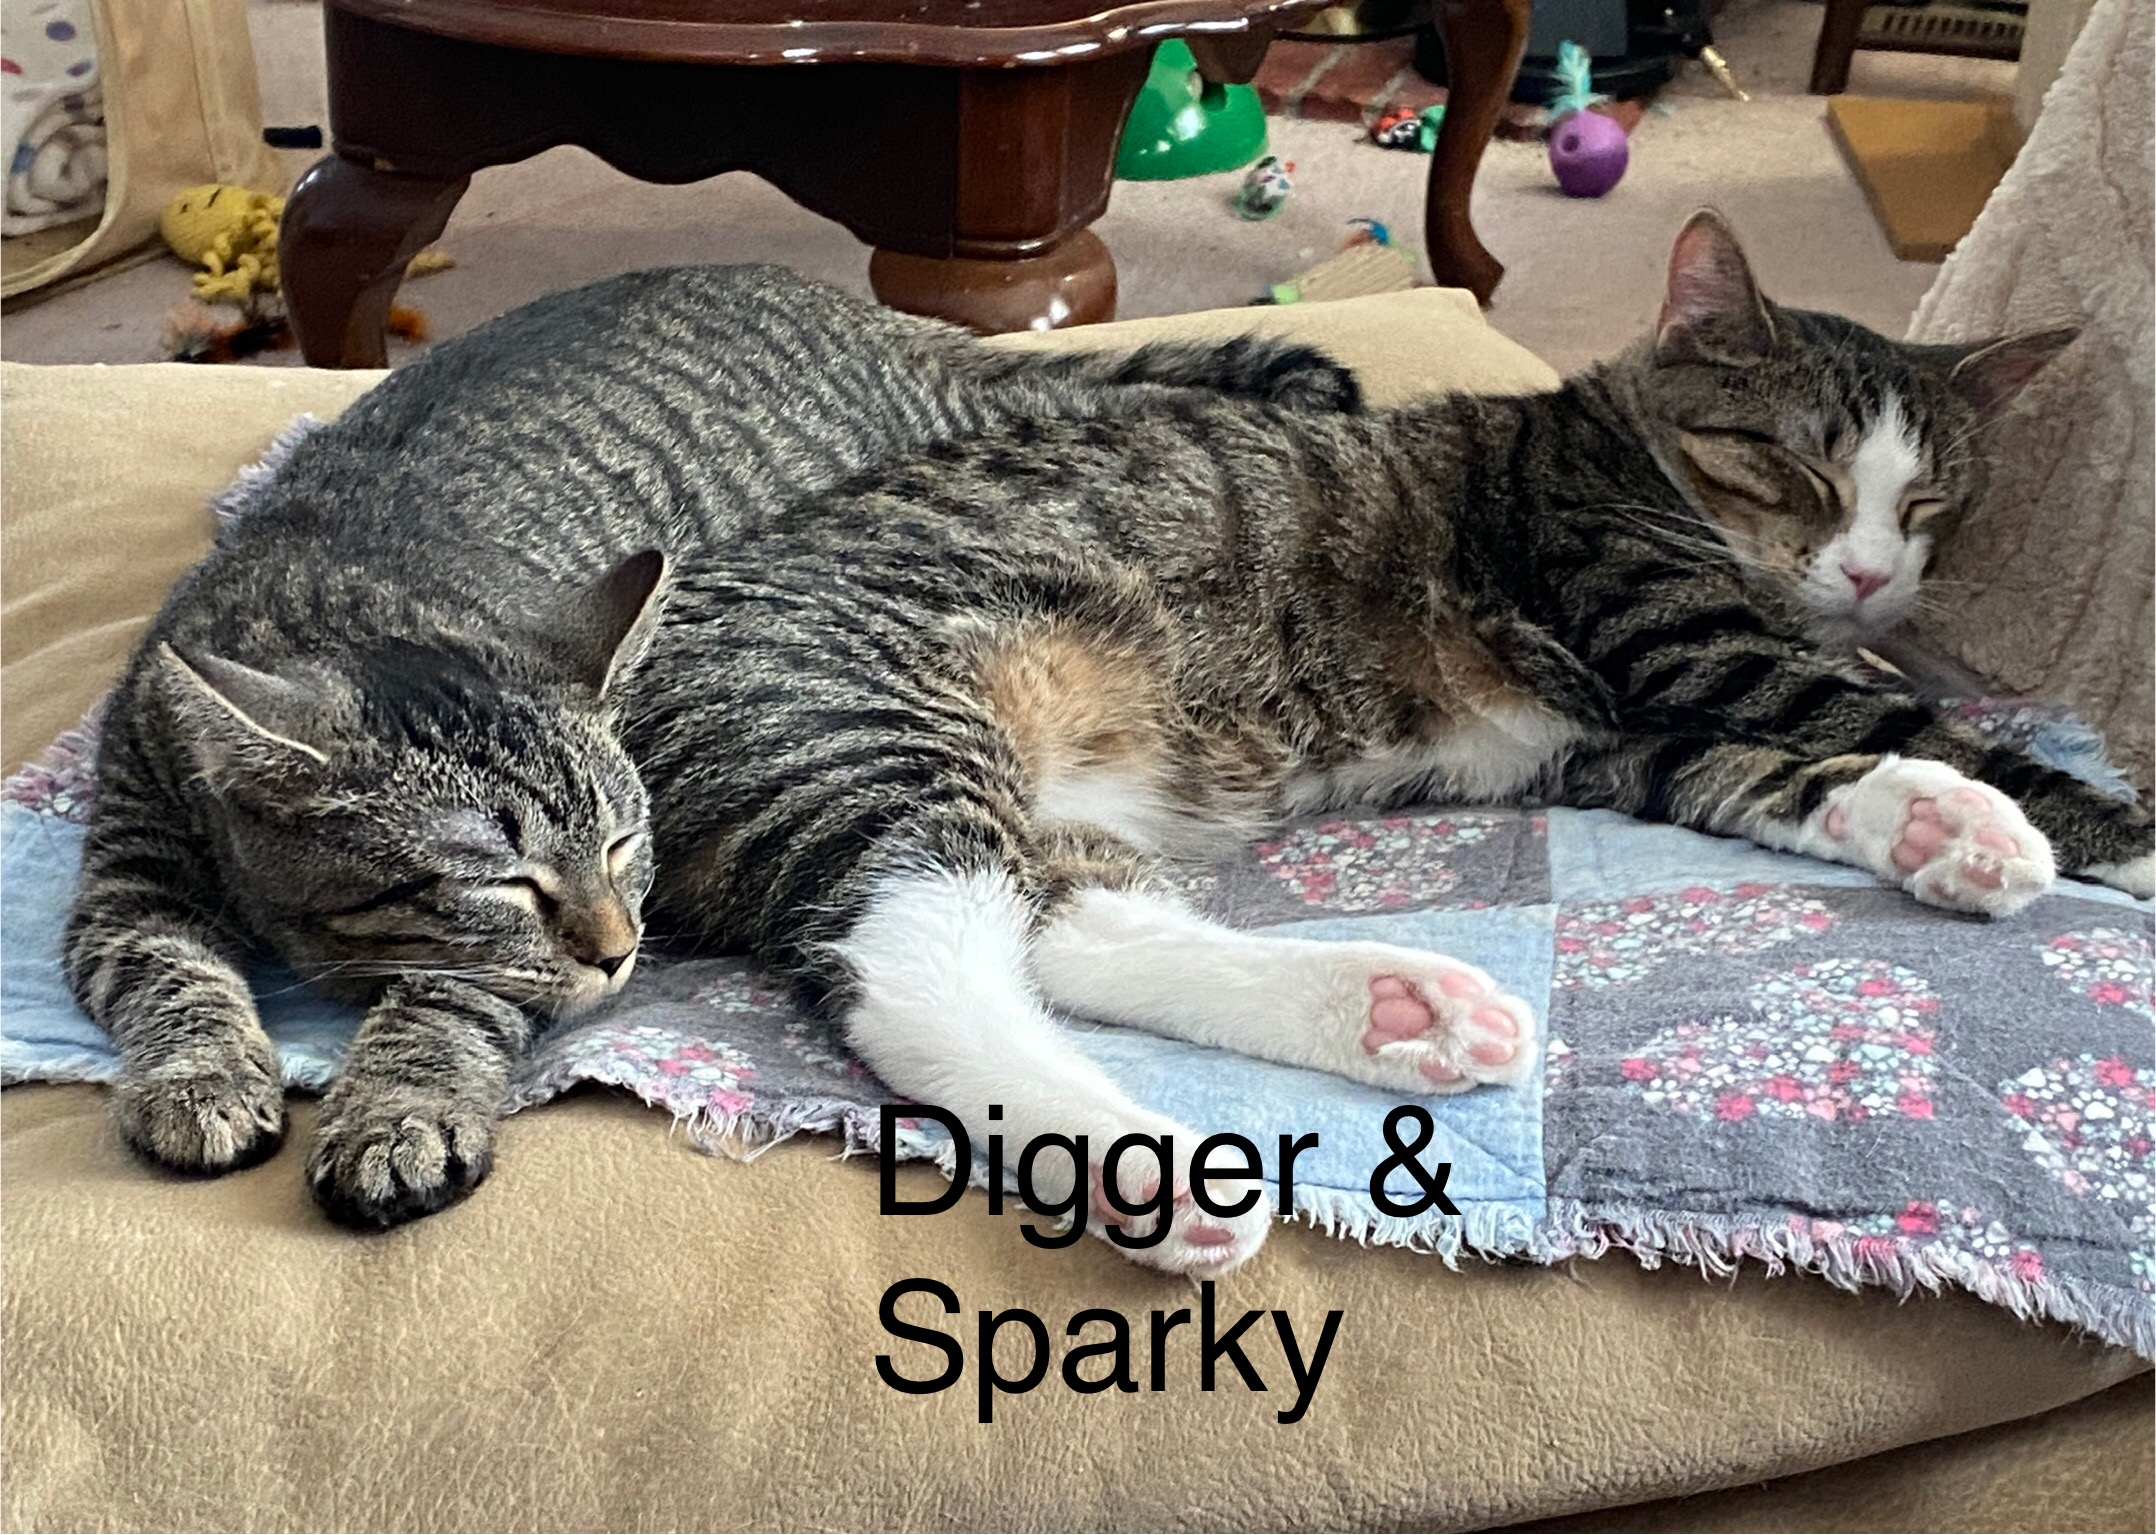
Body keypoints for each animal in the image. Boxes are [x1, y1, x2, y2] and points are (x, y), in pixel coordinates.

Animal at [69, 216, 2150, 1272]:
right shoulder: (1661, 620)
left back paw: (1394, 1009)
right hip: (864, 736)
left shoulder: (1615, 732)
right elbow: (1835, 714)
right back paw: (1150, 1172)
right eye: (1789, 470)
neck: (1609, 443)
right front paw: (2076, 812)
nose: (1874, 570)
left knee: (1061, 922)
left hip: (961, 788)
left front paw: (1949, 826)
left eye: (1932, 501)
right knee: (919, 968)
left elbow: (1785, 769)